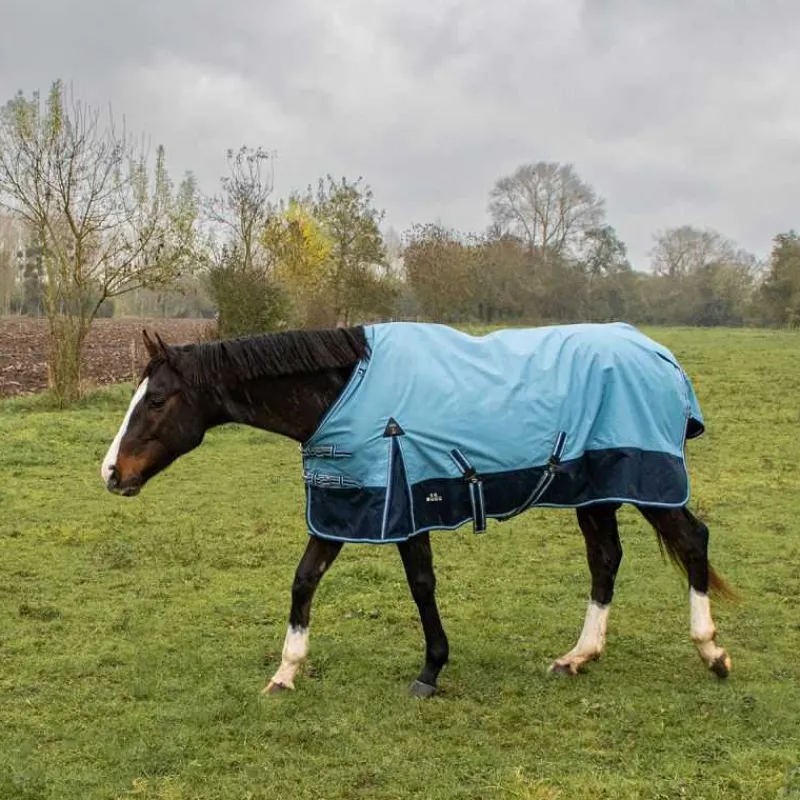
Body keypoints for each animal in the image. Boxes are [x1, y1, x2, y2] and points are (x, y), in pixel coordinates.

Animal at [100, 321, 733, 698]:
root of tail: (659, 355)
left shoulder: (402, 505)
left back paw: (711, 651)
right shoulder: (346, 503)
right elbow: (304, 580)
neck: (345, 391)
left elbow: (421, 585)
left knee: (692, 541)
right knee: (605, 558)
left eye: (156, 401)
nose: (110, 473)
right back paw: (580, 655)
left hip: (646, 482)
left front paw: (430, 671)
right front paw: (286, 671)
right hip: (593, 493)